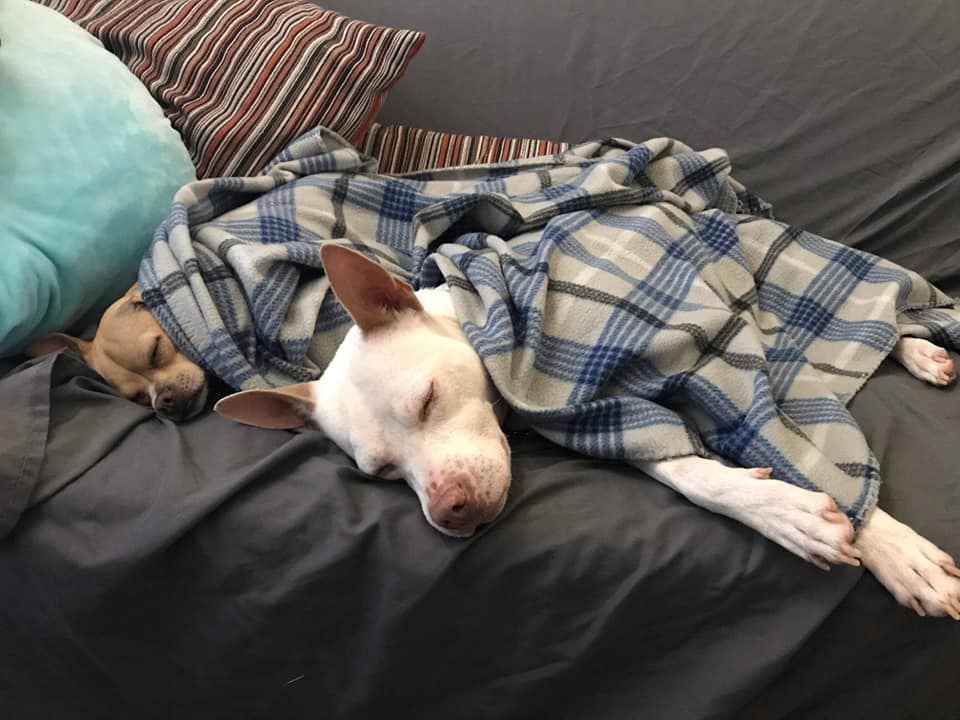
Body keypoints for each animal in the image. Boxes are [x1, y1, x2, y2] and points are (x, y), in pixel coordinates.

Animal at [216, 245, 960, 616]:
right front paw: (784, 513)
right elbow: (690, 472)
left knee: (882, 316)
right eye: (379, 473)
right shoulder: (606, 412)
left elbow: (799, 439)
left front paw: (895, 549)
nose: (450, 511)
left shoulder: (705, 361)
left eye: (425, 401)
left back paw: (921, 346)